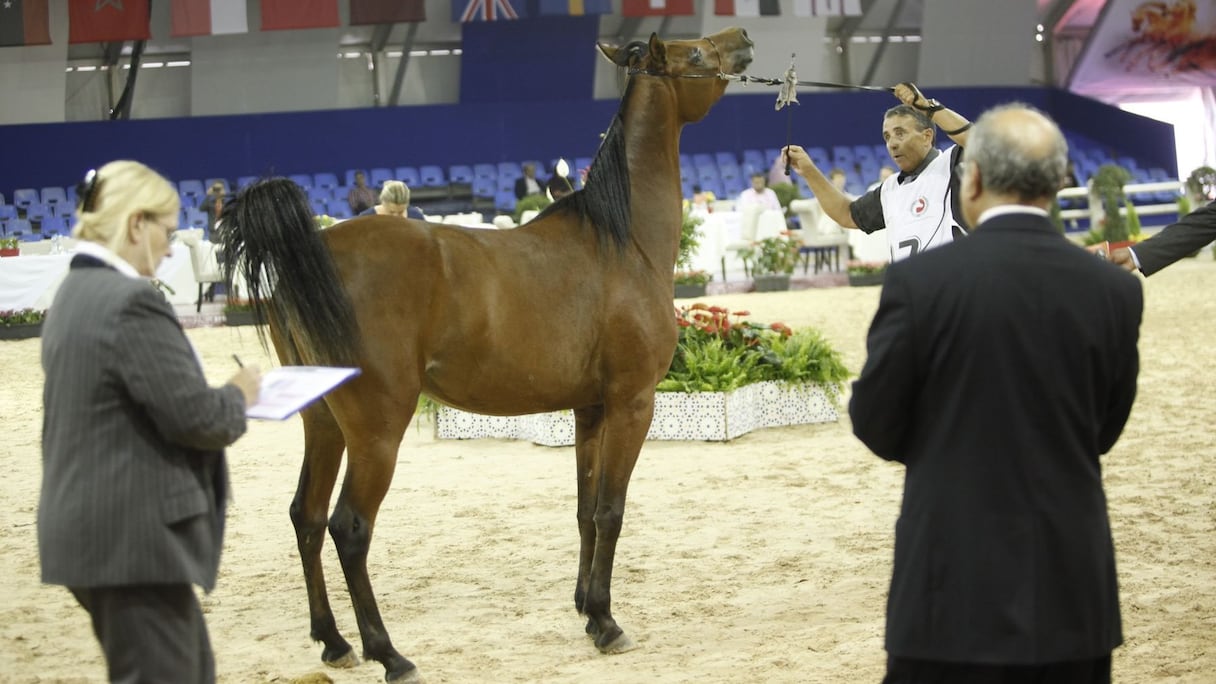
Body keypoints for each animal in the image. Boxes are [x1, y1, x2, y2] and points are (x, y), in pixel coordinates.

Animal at [216, 27, 749, 681]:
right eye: (693, 53)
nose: (741, 38)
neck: (622, 242)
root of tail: (315, 251)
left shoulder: (591, 409)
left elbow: (584, 507)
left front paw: (585, 608)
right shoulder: (632, 403)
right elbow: (611, 510)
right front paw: (607, 622)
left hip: (323, 422)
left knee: (307, 517)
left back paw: (334, 642)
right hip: (376, 431)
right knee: (349, 528)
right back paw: (389, 653)